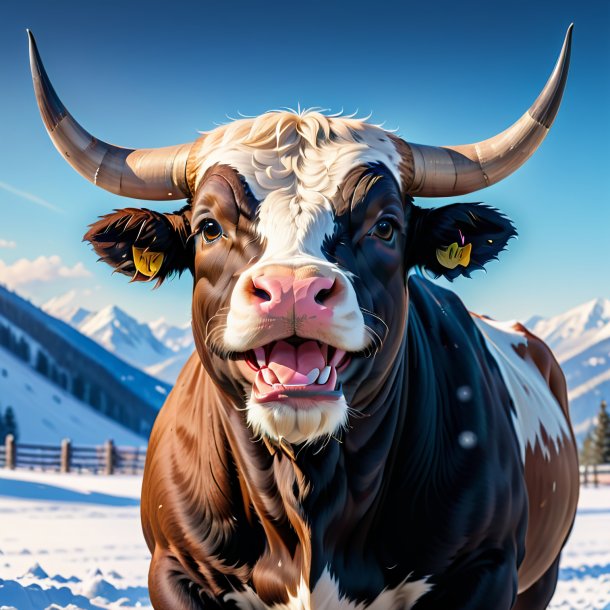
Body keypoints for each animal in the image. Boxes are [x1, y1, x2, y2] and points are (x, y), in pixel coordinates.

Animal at [28, 25, 576, 608]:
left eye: (385, 226)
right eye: (209, 227)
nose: (293, 290)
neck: (308, 494)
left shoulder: (485, 569)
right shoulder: (175, 568)